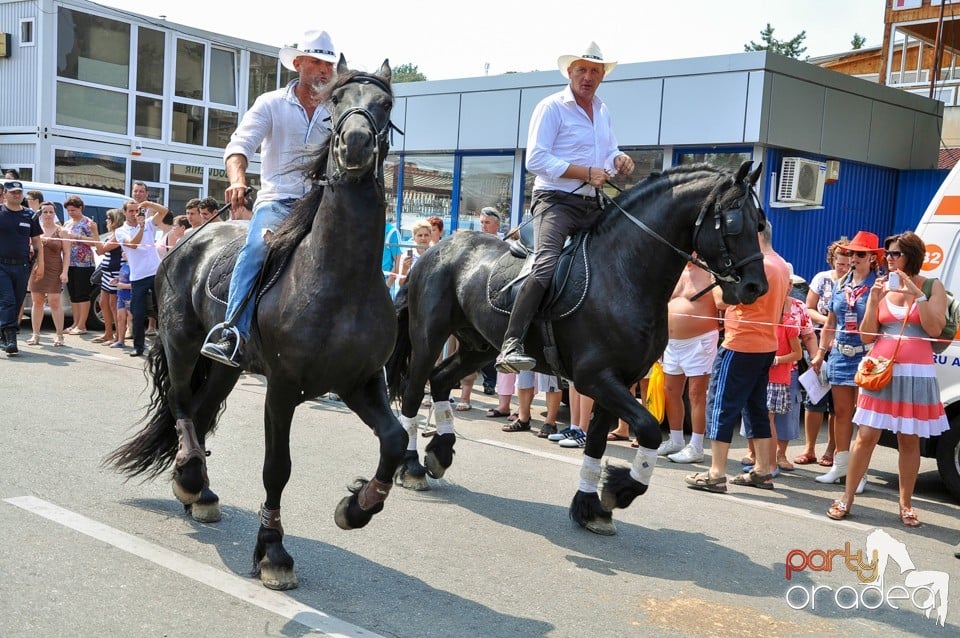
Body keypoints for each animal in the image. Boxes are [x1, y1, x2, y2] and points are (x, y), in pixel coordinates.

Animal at [106, 58, 404, 592]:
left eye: (385, 104)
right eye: (335, 102)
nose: (353, 145)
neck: (339, 276)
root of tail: (183, 241)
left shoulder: (361, 382)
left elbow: (395, 440)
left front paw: (357, 507)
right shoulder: (282, 387)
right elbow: (276, 468)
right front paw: (274, 552)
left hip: (226, 368)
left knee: (200, 412)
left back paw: (198, 491)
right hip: (182, 344)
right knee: (181, 405)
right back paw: (189, 477)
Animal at [386, 161, 768, 536]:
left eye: (761, 223)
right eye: (733, 221)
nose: (755, 288)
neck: (623, 273)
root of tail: (434, 251)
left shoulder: (617, 382)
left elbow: (599, 441)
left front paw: (590, 508)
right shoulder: (595, 378)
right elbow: (646, 428)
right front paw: (619, 490)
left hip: (479, 346)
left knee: (440, 380)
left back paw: (439, 453)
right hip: (429, 337)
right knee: (414, 390)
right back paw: (412, 467)